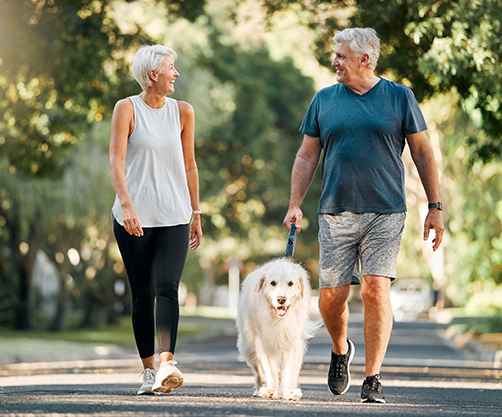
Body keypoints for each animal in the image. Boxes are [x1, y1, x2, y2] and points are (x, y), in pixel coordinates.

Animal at [236, 256, 316, 400]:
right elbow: (270, 370)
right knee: (259, 370)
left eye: (290, 283)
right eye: (273, 283)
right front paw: (271, 390)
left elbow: (289, 370)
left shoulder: (292, 343)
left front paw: (289, 392)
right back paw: (261, 388)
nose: (281, 299)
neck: (279, 319)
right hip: (248, 345)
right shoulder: (264, 343)